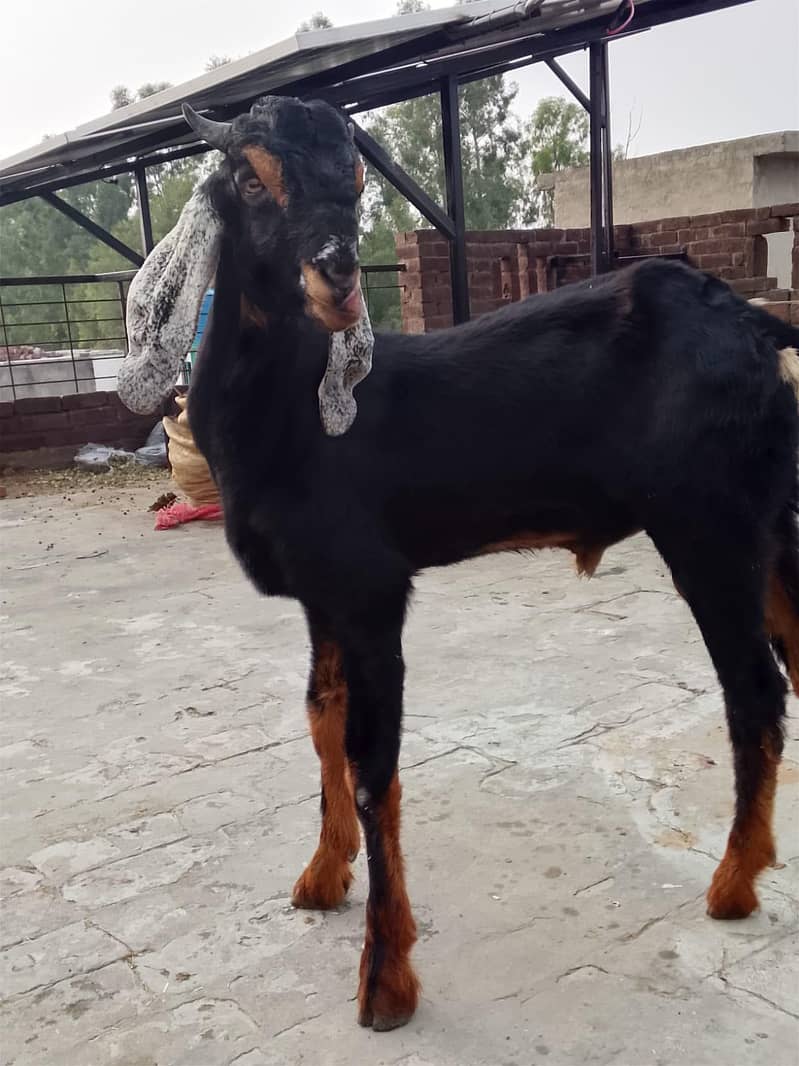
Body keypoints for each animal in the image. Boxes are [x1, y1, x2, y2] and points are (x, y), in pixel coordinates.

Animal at [118, 95, 799, 1032]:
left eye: (356, 181)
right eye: (248, 181)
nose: (337, 278)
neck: (295, 416)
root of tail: (751, 323)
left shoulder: (371, 589)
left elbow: (374, 768)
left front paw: (384, 981)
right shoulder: (323, 597)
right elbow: (321, 721)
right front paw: (319, 877)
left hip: (709, 525)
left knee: (754, 691)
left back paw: (731, 885)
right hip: (774, 517)